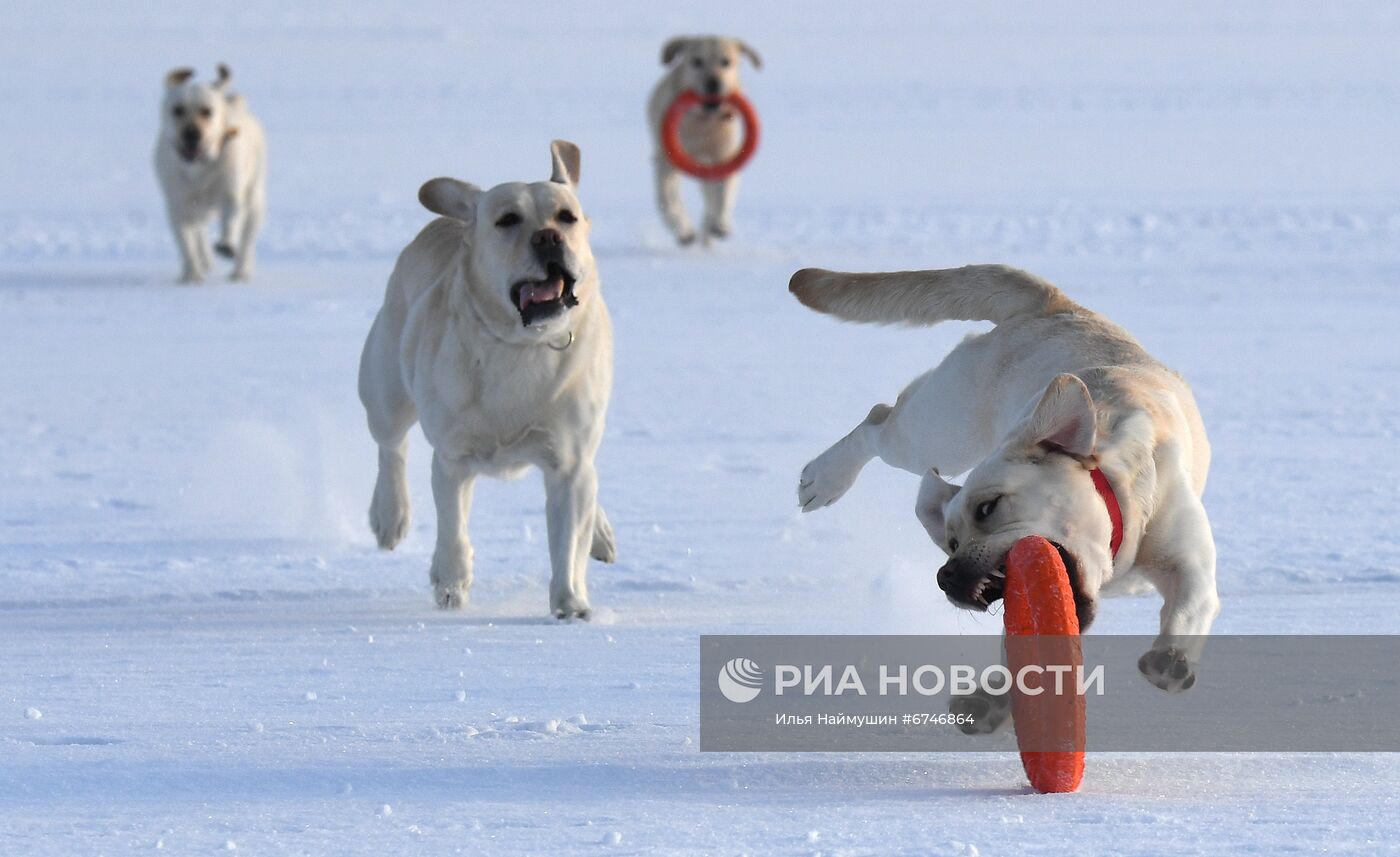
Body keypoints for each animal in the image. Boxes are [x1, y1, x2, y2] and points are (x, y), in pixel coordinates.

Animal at [154, 65, 266, 284]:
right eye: (178, 110)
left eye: (207, 111)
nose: (192, 133)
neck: (199, 167)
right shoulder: (179, 204)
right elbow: (186, 242)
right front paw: (192, 275)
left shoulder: (231, 191)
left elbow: (231, 217)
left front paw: (226, 244)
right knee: (199, 234)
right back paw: (202, 262)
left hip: (254, 199)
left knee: (247, 239)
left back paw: (241, 271)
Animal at [361, 142, 618, 621]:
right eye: (507, 220)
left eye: (566, 216)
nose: (548, 238)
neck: (521, 344)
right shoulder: (452, 458)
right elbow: (452, 528)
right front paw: (450, 583)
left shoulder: (568, 460)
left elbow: (567, 537)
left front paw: (570, 602)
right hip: (384, 389)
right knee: (391, 446)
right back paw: (390, 515)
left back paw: (601, 534)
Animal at [646, 34, 761, 245]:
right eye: (697, 61)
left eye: (726, 61)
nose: (713, 83)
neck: (704, 122)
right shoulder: (666, 162)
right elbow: (668, 198)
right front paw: (683, 229)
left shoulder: (725, 158)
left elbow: (723, 194)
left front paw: (720, 224)